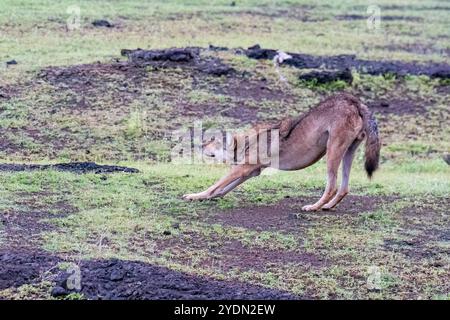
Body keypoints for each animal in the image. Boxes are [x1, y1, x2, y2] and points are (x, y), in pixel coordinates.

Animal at [183, 94, 380, 211]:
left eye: (211, 140)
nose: (198, 146)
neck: (246, 142)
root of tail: (354, 101)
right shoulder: (250, 172)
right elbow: (221, 190)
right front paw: (205, 198)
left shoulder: (242, 169)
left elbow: (214, 186)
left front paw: (194, 196)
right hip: (348, 153)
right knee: (344, 188)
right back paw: (327, 207)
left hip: (332, 154)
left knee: (331, 186)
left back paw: (313, 207)